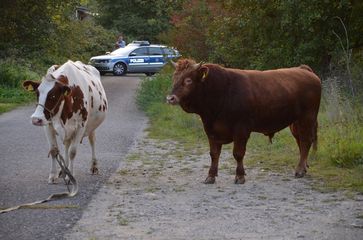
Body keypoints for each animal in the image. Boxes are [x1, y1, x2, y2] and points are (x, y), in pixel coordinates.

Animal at [167, 58, 322, 184]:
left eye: (188, 80)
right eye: (174, 78)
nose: (170, 98)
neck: (222, 91)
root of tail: (303, 69)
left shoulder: (241, 129)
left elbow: (238, 153)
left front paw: (240, 176)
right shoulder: (210, 130)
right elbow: (214, 154)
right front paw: (210, 176)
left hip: (308, 117)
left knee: (306, 141)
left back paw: (300, 170)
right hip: (295, 122)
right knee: (300, 141)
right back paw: (304, 166)